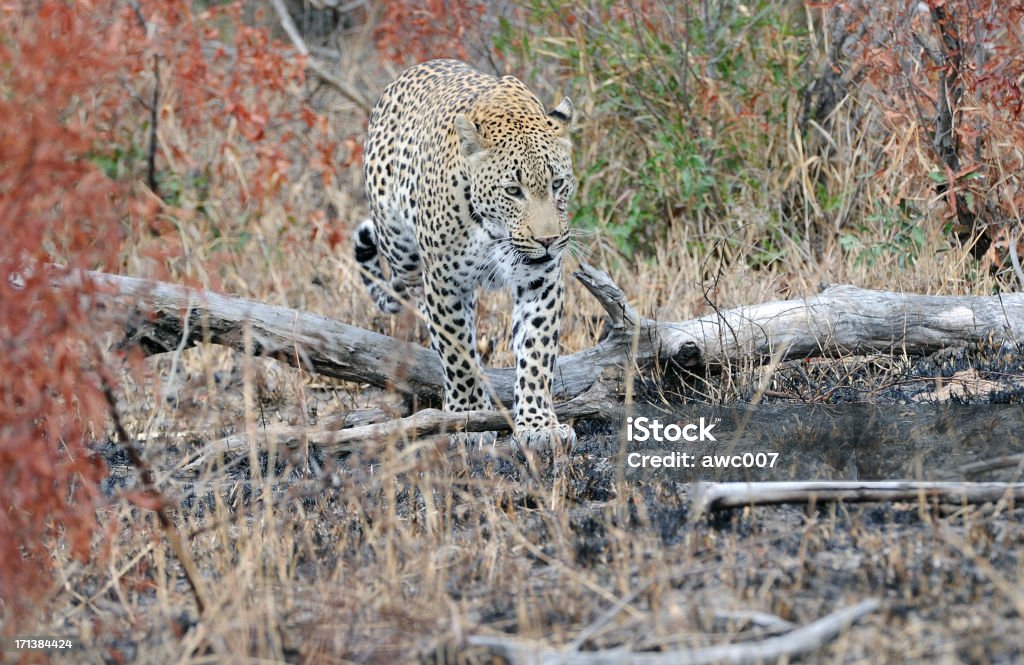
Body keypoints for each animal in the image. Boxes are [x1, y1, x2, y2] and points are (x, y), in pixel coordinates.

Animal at [352, 58, 577, 450]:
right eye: (513, 190)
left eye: (557, 184)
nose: (548, 240)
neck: (496, 233)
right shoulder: (445, 282)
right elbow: (457, 353)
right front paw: (468, 417)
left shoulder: (541, 280)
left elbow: (536, 351)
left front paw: (539, 425)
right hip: (402, 251)